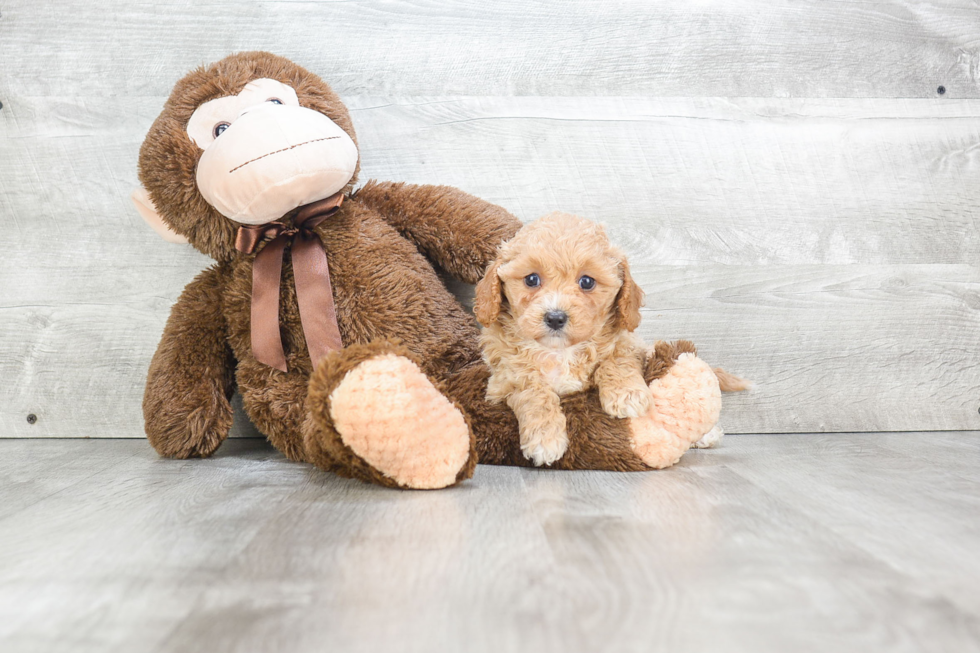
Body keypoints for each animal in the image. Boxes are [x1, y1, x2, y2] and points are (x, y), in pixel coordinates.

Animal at [476, 213, 652, 464]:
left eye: (587, 282)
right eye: (531, 279)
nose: (555, 318)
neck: (559, 351)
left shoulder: (630, 342)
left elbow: (617, 359)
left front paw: (627, 394)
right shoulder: (505, 379)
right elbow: (534, 392)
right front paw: (544, 438)